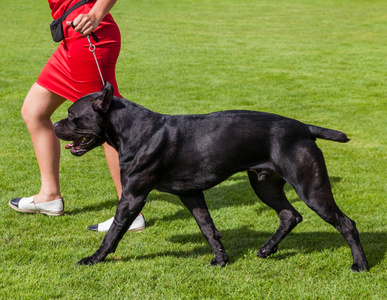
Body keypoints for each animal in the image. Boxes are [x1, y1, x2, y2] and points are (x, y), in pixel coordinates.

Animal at [54, 82, 370, 272]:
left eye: (72, 115)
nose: (55, 125)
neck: (134, 129)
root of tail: (304, 128)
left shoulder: (132, 197)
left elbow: (113, 233)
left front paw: (94, 258)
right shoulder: (191, 194)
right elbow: (208, 228)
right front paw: (221, 258)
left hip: (311, 187)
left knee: (346, 223)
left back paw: (361, 264)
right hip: (265, 186)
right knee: (289, 215)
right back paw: (267, 249)